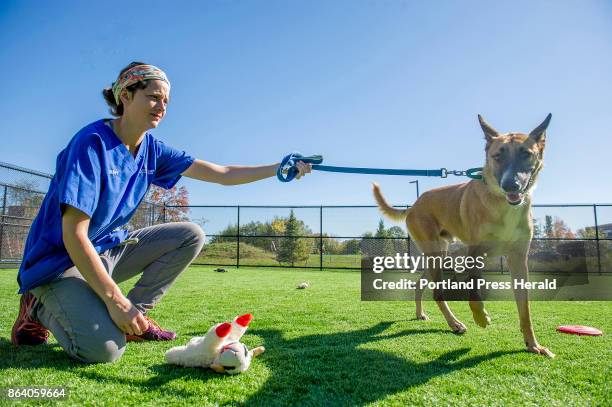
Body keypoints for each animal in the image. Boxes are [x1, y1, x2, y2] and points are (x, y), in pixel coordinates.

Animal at [372, 114, 556, 356]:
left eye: (526, 154)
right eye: (497, 156)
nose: (510, 184)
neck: (501, 204)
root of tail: (414, 205)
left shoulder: (518, 259)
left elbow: (524, 309)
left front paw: (533, 344)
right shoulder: (474, 253)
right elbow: (473, 294)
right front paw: (481, 318)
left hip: (439, 254)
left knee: (421, 284)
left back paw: (421, 314)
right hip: (435, 254)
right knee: (437, 292)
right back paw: (454, 324)